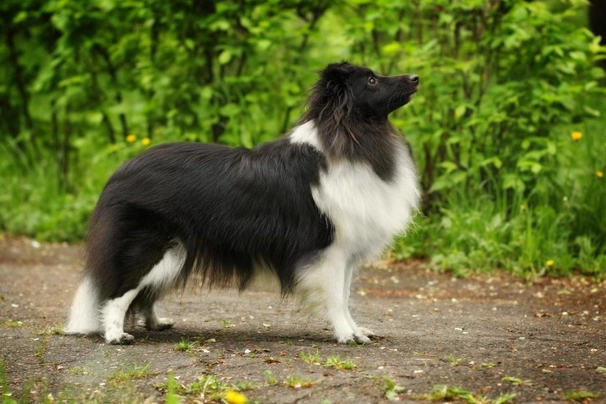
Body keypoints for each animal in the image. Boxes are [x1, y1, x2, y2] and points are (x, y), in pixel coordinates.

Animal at [64, 62, 420, 344]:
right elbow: (335, 298)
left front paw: (356, 331)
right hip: (149, 246)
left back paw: (156, 323)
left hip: (175, 253)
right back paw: (115, 335)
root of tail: (118, 173)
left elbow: (345, 298)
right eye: (371, 80)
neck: (352, 135)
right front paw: (347, 336)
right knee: (118, 290)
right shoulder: (329, 251)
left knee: (142, 293)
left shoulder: (345, 254)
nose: (416, 77)